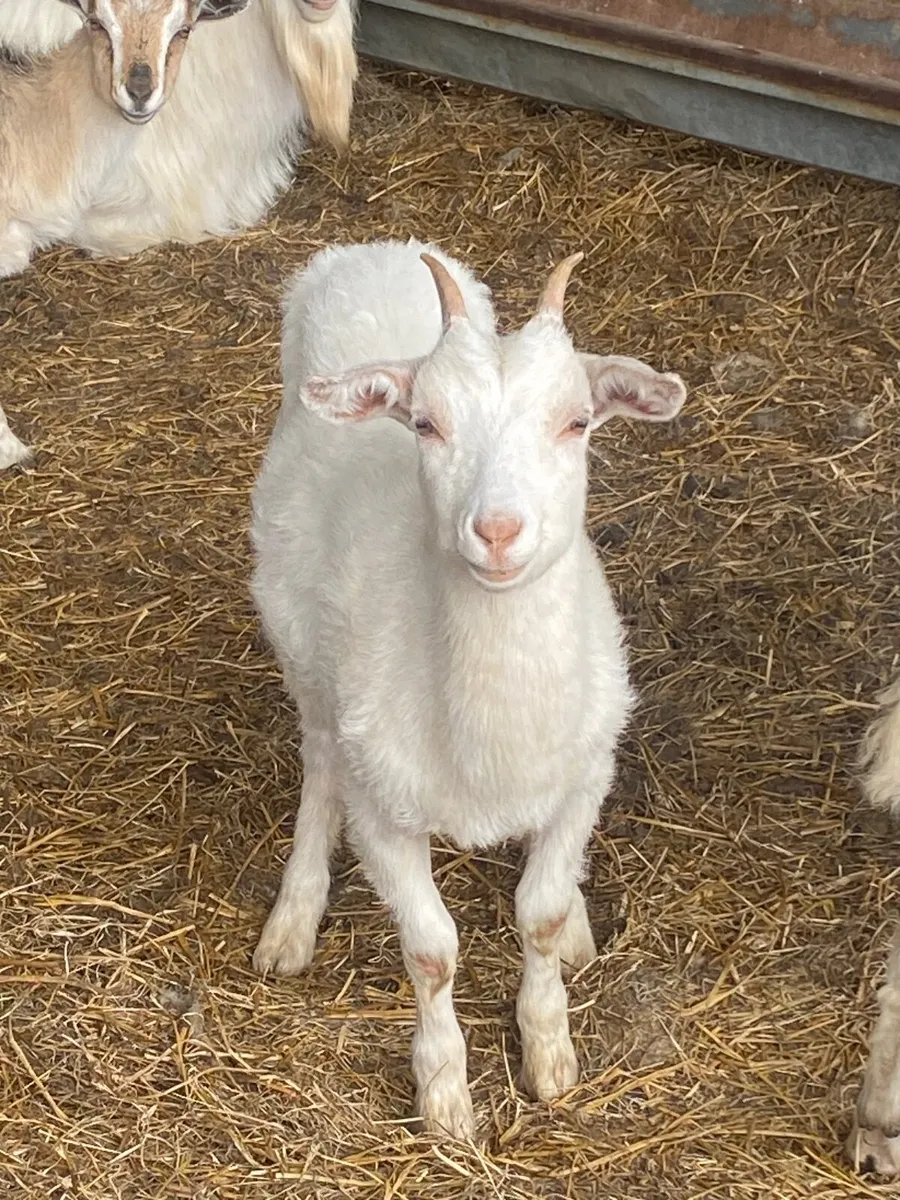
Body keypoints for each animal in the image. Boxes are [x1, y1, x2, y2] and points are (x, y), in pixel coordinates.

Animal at [249, 238, 687, 1137]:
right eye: (425, 422)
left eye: (577, 420)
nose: (497, 531)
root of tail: (369, 250)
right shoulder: (384, 815)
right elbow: (431, 949)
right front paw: (445, 1093)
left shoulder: (585, 777)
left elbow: (540, 913)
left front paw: (550, 1050)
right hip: (302, 648)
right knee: (320, 762)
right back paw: (294, 916)